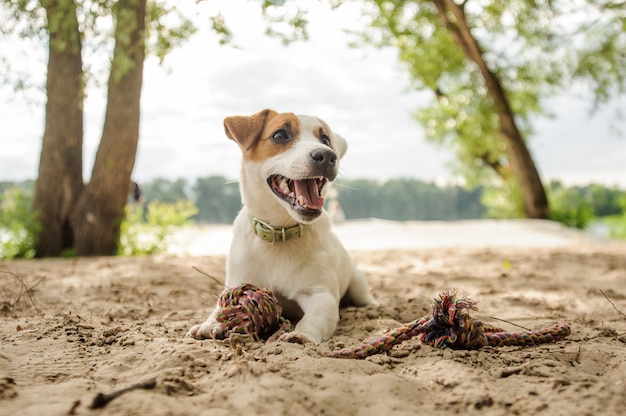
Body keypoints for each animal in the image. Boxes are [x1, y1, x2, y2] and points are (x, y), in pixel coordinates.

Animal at [185, 108, 376, 344]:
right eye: (280, 135)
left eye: (325, 140)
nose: (327, 155)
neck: (279, 232)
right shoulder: (236, 281)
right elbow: (217, 309)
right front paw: (209, 324)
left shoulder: (320, 294)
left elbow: (314, 318)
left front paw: (301, 335)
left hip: (357, 284)